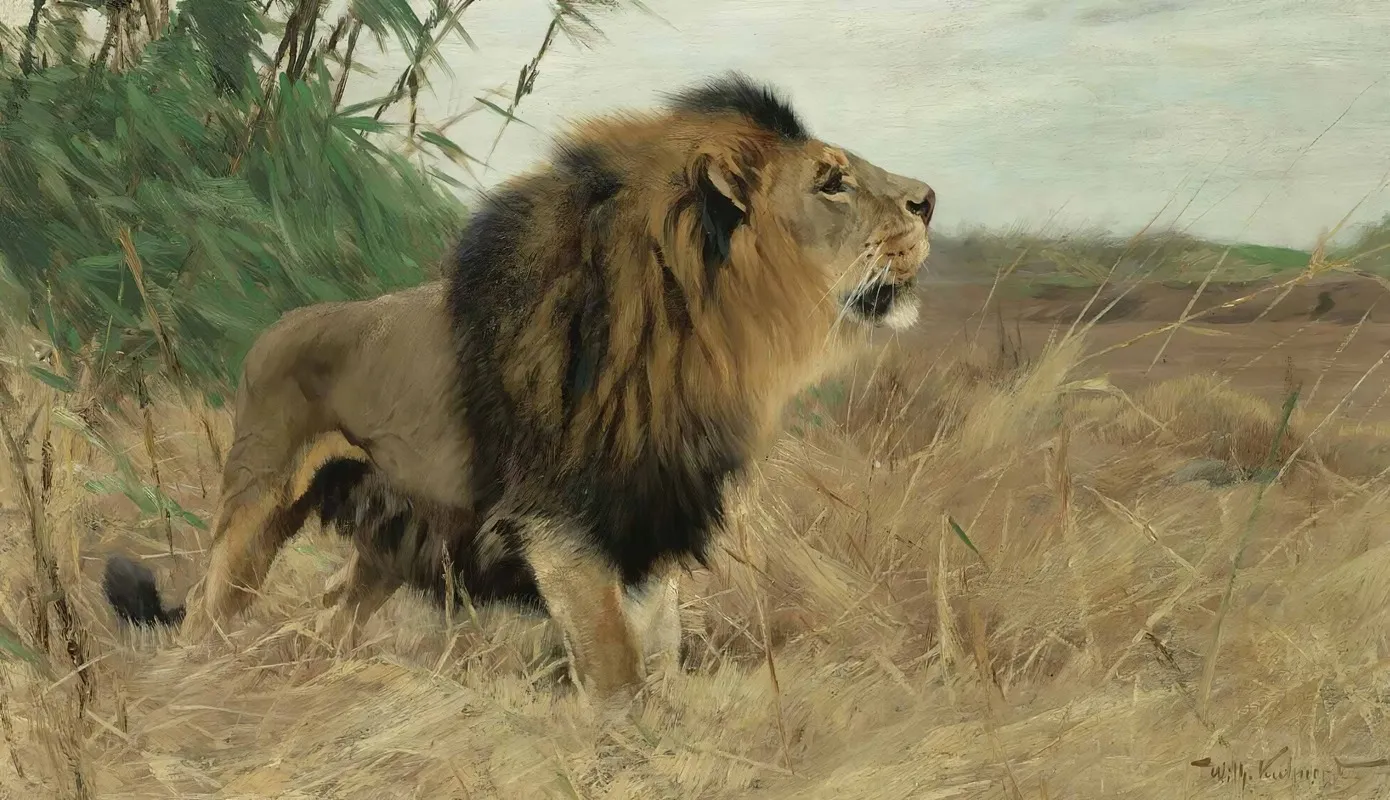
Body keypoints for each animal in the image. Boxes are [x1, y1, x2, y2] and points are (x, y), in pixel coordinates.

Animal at [102, 72, 937, 701]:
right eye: (831, 183)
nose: (929, 199)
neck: (700, 339)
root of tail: (275, 327)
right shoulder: (559, 521)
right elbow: (616, 663)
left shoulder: (649, 514)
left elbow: (659, 650)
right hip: (256, 506)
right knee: (208, 612)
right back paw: (196, 687)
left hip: (399, 532)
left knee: (332, 605)